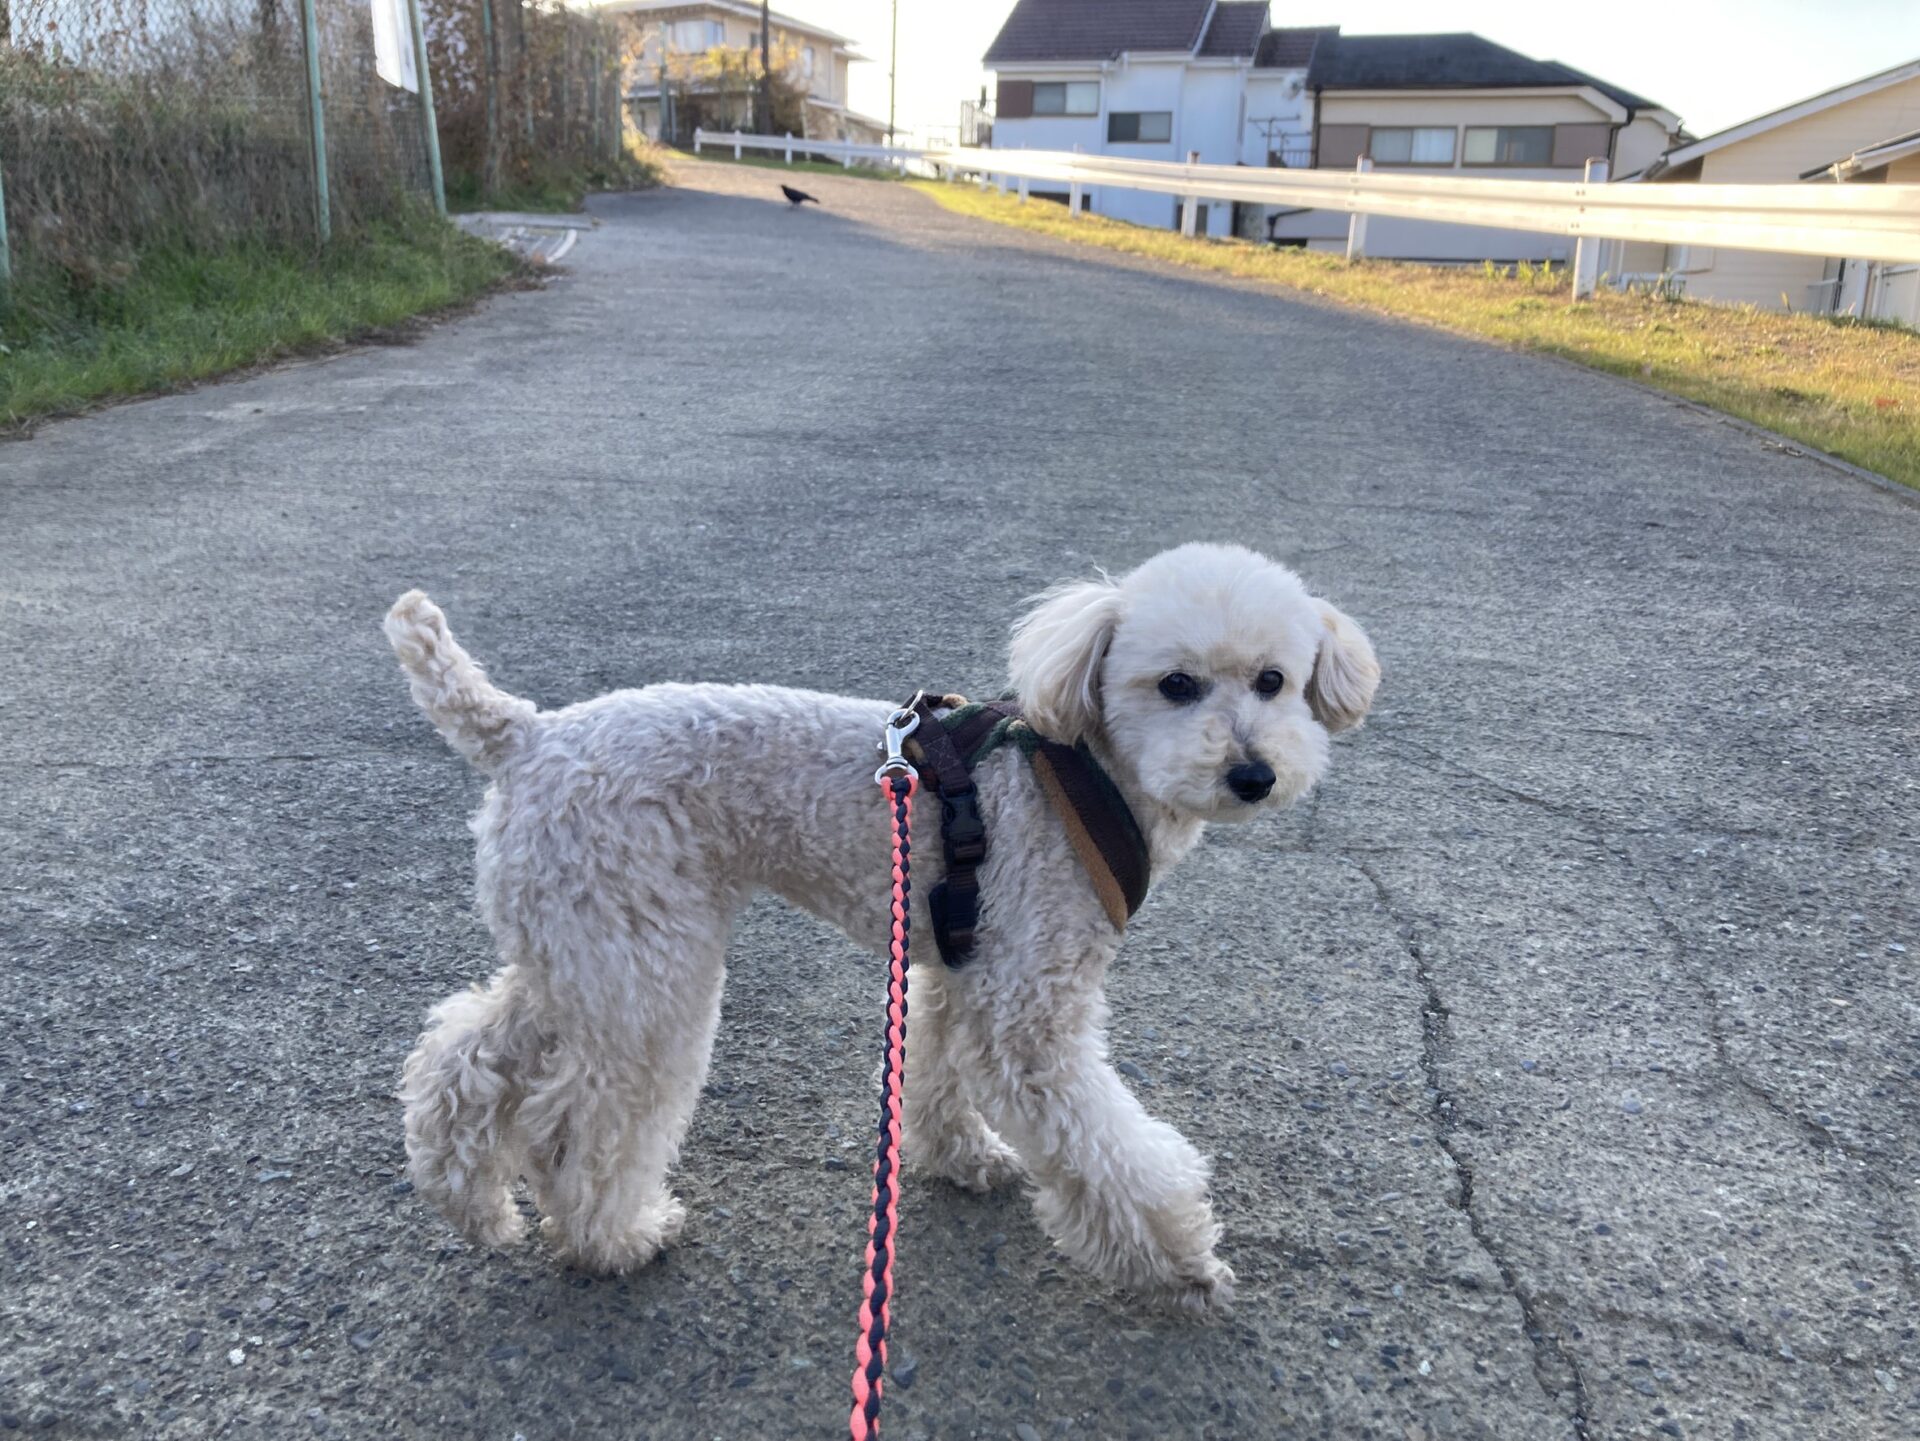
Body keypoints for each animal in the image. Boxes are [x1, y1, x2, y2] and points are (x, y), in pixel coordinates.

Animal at [386, 542, 1378, 1313]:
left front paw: (959, 1155)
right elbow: (1108, 1145)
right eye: (1175, 684)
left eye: (1274, 681)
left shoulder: (960, 960)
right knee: (577, 1123)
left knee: (462, 1058)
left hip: (590, 946)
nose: (1253, 774)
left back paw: (468, 1201)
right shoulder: (1028, 1008)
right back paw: (611, 1236)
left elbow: (935, 1067)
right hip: (643, 965)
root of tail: (525, 734)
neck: (1083, 774)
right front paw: (1179, 1260)